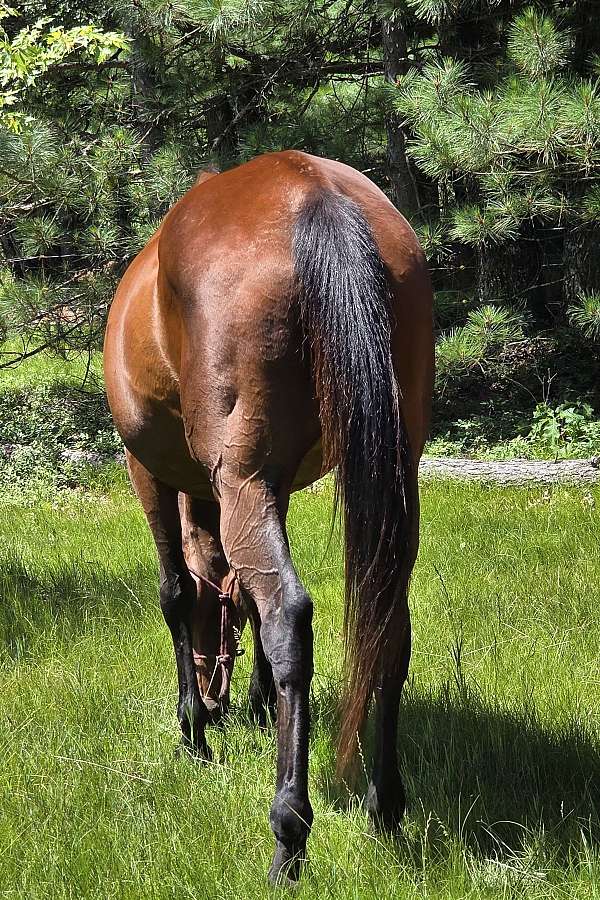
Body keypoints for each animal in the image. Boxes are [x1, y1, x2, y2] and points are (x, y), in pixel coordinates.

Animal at [103, 150, 434, 884]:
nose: (216, 697)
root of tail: (310, 189)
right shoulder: (265, 491)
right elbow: (245, 595)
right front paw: (254, 702)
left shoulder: (151, 472)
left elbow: (178, 591)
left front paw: (193, 730)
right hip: (390, 477)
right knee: (387, 625)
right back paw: (386, 806)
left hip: (242, 481)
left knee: (288, 615)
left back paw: (290, 829)